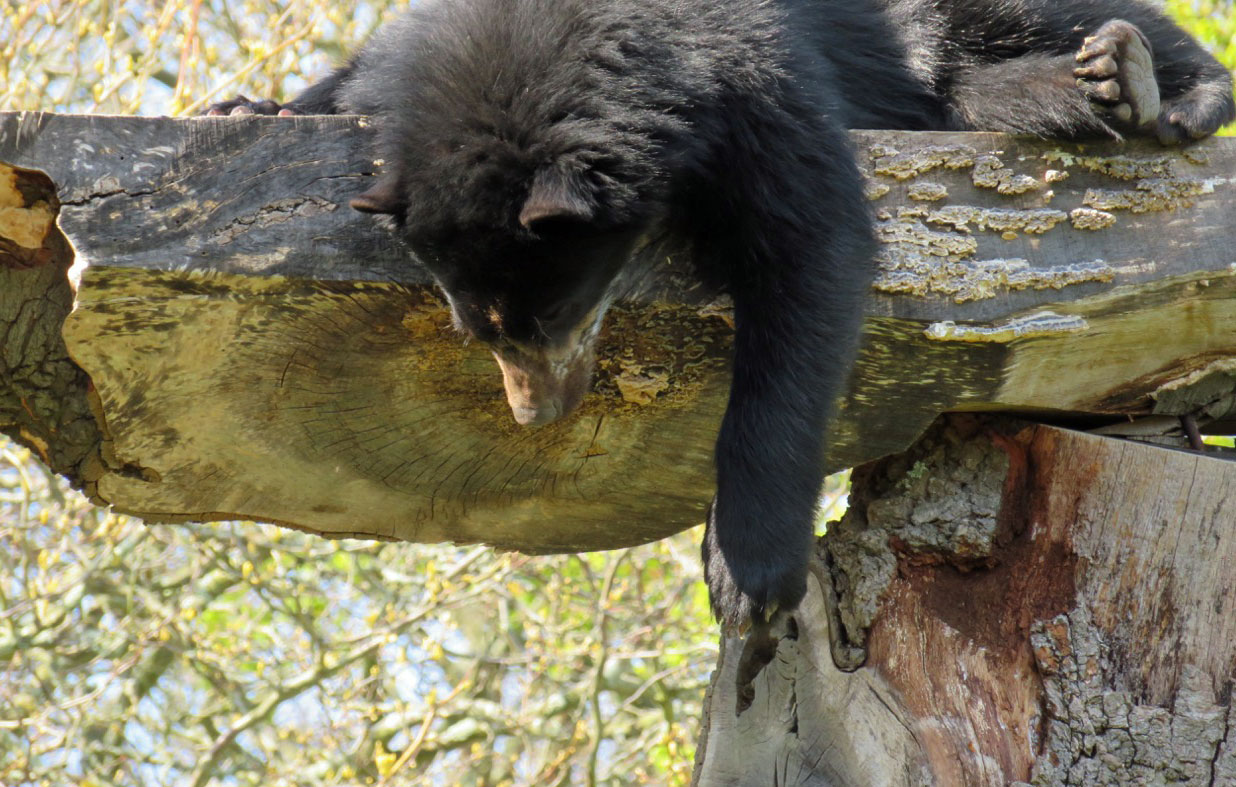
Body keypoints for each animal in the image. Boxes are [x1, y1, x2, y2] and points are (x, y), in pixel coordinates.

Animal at [212, 0, 1236, 625]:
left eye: (560, 308)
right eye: (478, 330)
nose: (537, 416)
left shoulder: (751, 77)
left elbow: (810, 254)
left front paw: (748, 574)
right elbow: (344, 86)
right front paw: (249, 105)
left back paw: (1149, 86)